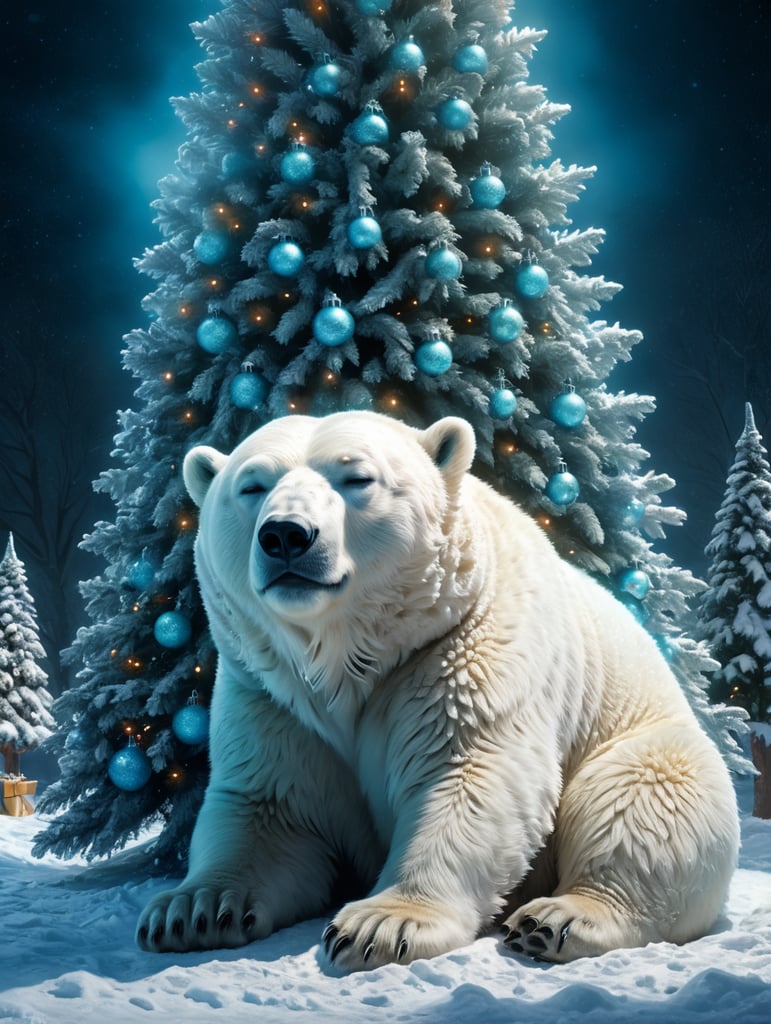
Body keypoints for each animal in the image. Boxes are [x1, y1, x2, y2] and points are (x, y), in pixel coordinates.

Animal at [136, 411, 739, 969]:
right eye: (252, 486)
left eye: (357, 478)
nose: (286, 535)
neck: (349, 661)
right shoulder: (270, 691)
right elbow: (270, 805)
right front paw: (192, 910)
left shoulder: (459, 649)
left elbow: (467, 774)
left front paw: (380, 925)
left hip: (645, 738)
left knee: (638, 801)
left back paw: (556, 918)